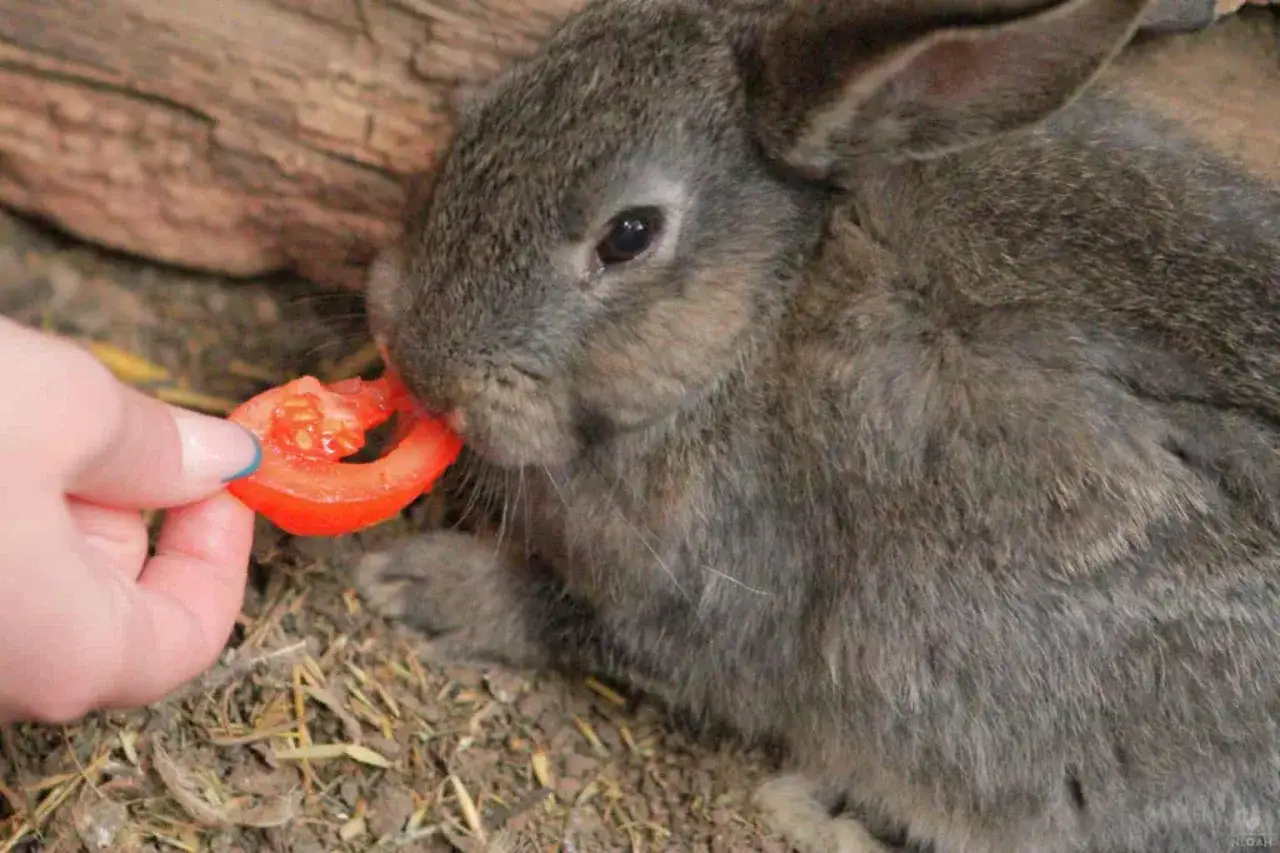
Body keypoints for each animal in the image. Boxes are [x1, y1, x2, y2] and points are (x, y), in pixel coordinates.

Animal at [351, 0, 1280, 850]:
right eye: (482, 109)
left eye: (629, 235)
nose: (420, 359)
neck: (767, 306)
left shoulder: (718, 598)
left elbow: (569, 617)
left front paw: (420, 583)